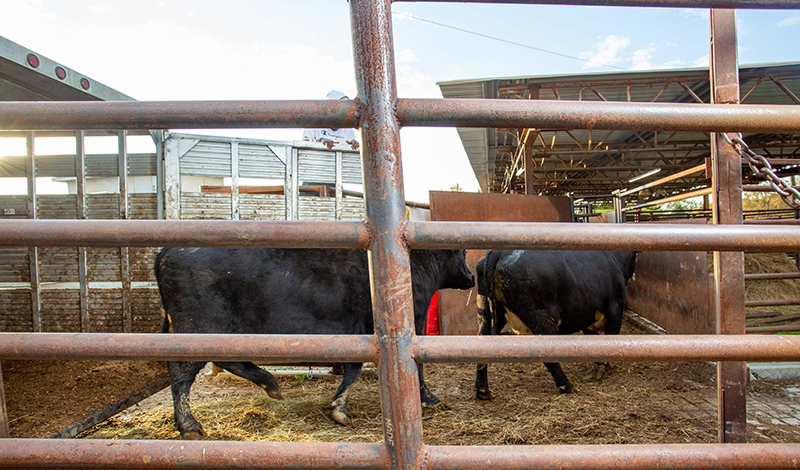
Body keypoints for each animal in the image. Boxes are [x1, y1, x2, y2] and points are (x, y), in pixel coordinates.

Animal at [155, 248, 476, 438]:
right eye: (462, 253)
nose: (472, 276)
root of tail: (167, 252)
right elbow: (408, 368)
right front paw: (428, 398)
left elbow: (352, 369)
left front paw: (338, 406)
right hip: (197, 329)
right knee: (182, 372)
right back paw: (188, 425)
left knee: (227, 360)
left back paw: (270, 384)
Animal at [476, 248, 636, 398]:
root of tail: (499, 251)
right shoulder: (614, 307)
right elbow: (611, 337)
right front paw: (602, 367)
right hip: (543, 318)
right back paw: (566, 385)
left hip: (487, 315)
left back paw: (482, 390)